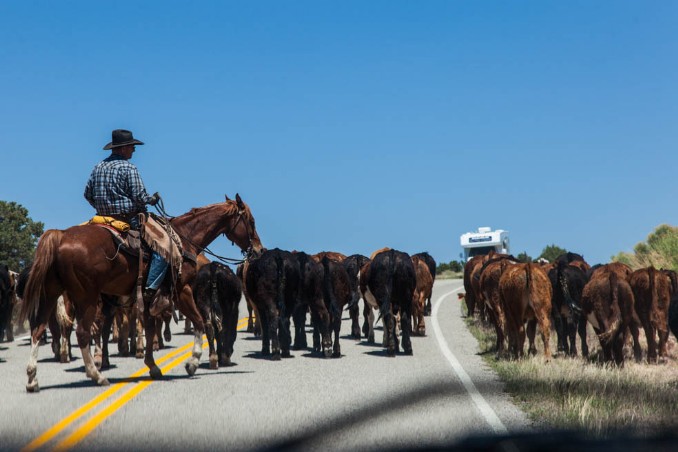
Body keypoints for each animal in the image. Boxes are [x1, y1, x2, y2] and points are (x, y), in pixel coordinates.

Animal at [18, 194, 262, 392]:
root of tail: (59, 236)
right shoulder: (181, 291)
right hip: (86, 297)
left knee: (38, 330)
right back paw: (97, 375)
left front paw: (152, 366)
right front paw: (192, 363)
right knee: (83, 333)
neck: (184, 239)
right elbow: (200, 323)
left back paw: (32, 379)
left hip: (51, 293)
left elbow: (150, 328)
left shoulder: (148, 299)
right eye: (251, 221)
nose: (258, 250)